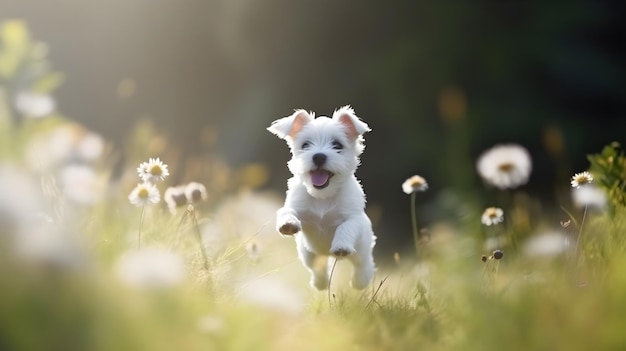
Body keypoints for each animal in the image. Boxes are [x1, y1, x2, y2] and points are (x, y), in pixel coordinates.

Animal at [264, 106, 372, 290]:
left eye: (337, 145)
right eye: (306, 145)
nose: (319, 156)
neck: (323, 196)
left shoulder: (355, 218)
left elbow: (346, 226)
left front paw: (341, 245)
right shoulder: (297, 208)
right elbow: (286, 211)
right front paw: (288, 224)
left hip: (362, 247)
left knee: (363, 263)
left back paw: (361, 281)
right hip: (307, 253)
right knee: (316, 267)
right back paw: (320, 283)